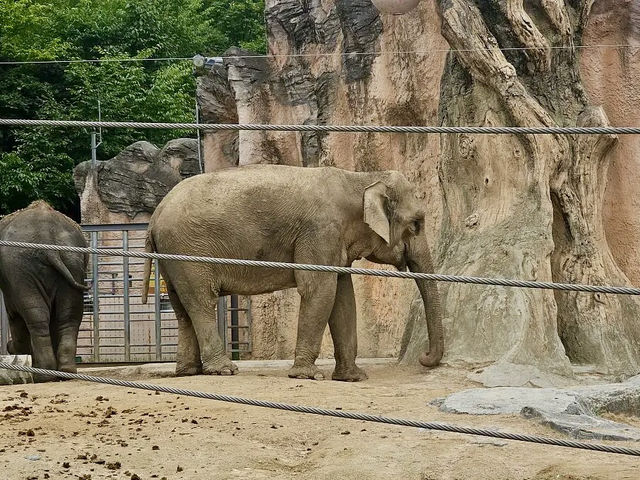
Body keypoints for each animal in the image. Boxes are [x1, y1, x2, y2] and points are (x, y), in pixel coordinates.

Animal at [0, 201, 88, 380]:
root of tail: (50, 247)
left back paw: (44, 374)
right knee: (69, 317)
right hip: (73, 261)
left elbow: (14, 316)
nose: (8, 346)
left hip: (22, 271)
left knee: (35, 316)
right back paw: (66, 372)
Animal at [141, 166, 442, 382]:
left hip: (172, 256)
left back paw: (188, 372)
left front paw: (353, 378)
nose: (424, 357)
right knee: (202, 301)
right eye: (416, 224)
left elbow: (343, 296)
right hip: (188, 250)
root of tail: (154, 216)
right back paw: (224, 370)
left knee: (182, 307)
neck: (359, 178)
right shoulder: (320, 231)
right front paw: (309, 376)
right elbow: (319, 290)